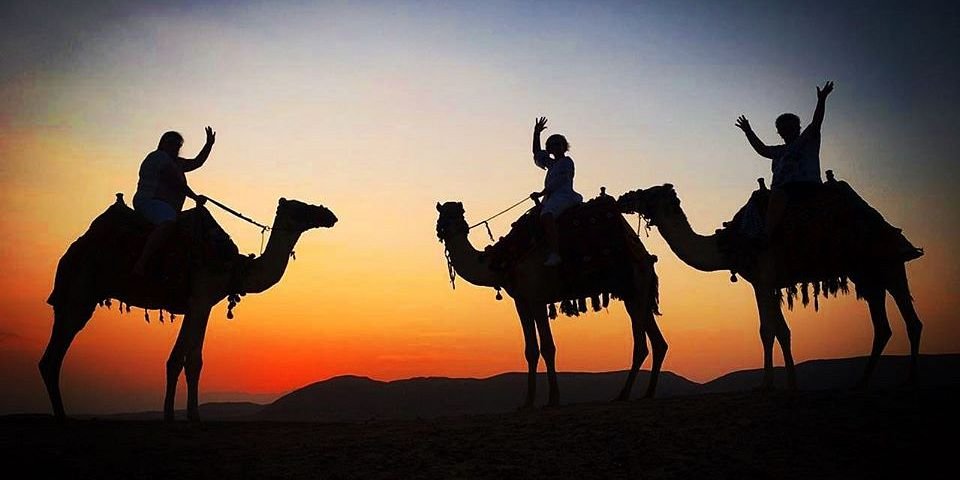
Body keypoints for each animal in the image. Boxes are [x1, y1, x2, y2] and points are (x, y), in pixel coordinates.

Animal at [40, 194, 337, 422]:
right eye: (300, 207)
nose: (328, 214)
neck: (234, 268)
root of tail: (73, 249)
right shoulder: (202, 299)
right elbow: (194, 360)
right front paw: (194, 415)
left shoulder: (192, 305)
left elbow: (175, 360)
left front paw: (169, 414)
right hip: (81, 291)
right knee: (52, 357)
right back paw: (61, 416)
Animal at [435, 198, 663, 408]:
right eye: (442, 214)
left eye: (454, 214)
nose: (443, 230)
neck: (502, 261)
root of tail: (643, 252)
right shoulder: (521, 301)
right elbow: (530, 350)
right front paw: (527, 402)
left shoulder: (537, 298)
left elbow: (547, 347)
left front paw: (553, 399)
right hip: (633, 292)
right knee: (657, 341)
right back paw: (648, 392)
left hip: (636, 285)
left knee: (641, 344)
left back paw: (623, 394)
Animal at [618, 177, 923, 390]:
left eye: (650, 193)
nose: (625, 197)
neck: (731, 244)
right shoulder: (765, 283)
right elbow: (781, 331)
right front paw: (789, 382)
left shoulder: (763, 278)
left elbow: (767, 331)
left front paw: (767, 384)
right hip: (869, 274)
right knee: (883, 326)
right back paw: (862, 382)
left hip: (890, 265)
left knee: (911, 321)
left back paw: (909, 380)